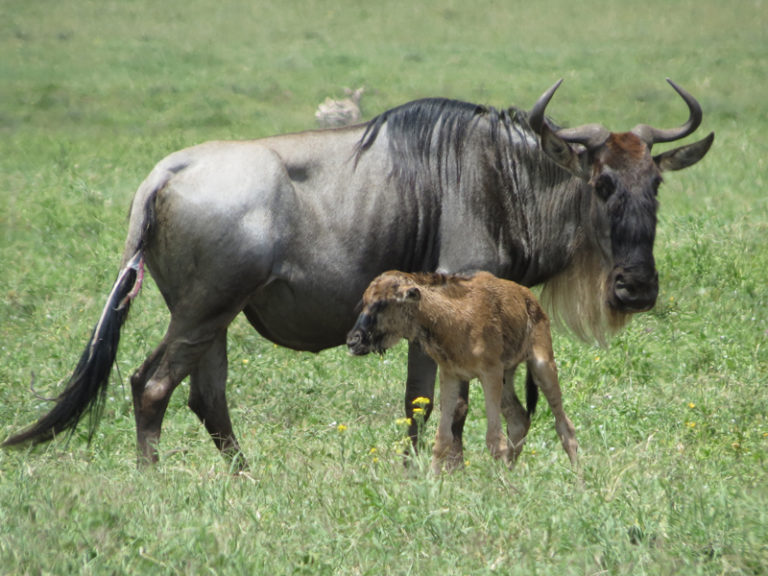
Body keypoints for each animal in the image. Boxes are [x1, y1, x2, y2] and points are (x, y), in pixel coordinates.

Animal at [346, 270, 576, 472]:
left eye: (382, 303)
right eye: (364, 302)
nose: (352, 341)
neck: (452, 320)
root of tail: (531, 300)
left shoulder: (490, 373)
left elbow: (494, 439)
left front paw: (501, 489)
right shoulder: (450, 375)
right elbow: (442, 439)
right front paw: (432, 483)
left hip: (542, 366)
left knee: (565, 426)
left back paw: (578, 480)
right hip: (507, 377)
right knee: (520, 420)